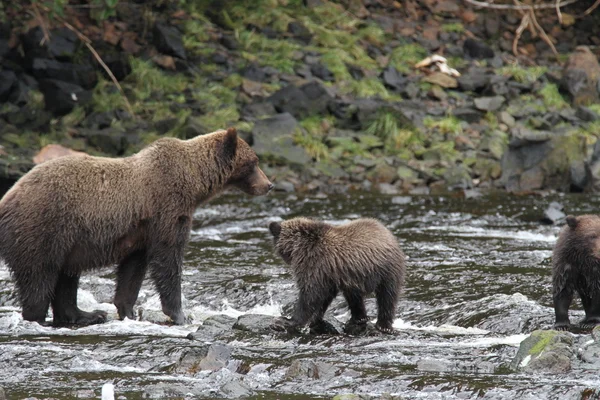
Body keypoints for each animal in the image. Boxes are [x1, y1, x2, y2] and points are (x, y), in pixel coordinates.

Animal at [270, 217, 406, 332]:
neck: (298, 247)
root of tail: (389, 234)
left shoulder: (314, 265)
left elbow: (310, 295)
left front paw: (285, 321)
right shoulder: (329, 275)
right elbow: (323, 297)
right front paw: (314, 319)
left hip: (386, 270)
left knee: (387, 296)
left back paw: (384, 325)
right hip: (352, 278)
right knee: (354, 297)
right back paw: (358, 317)